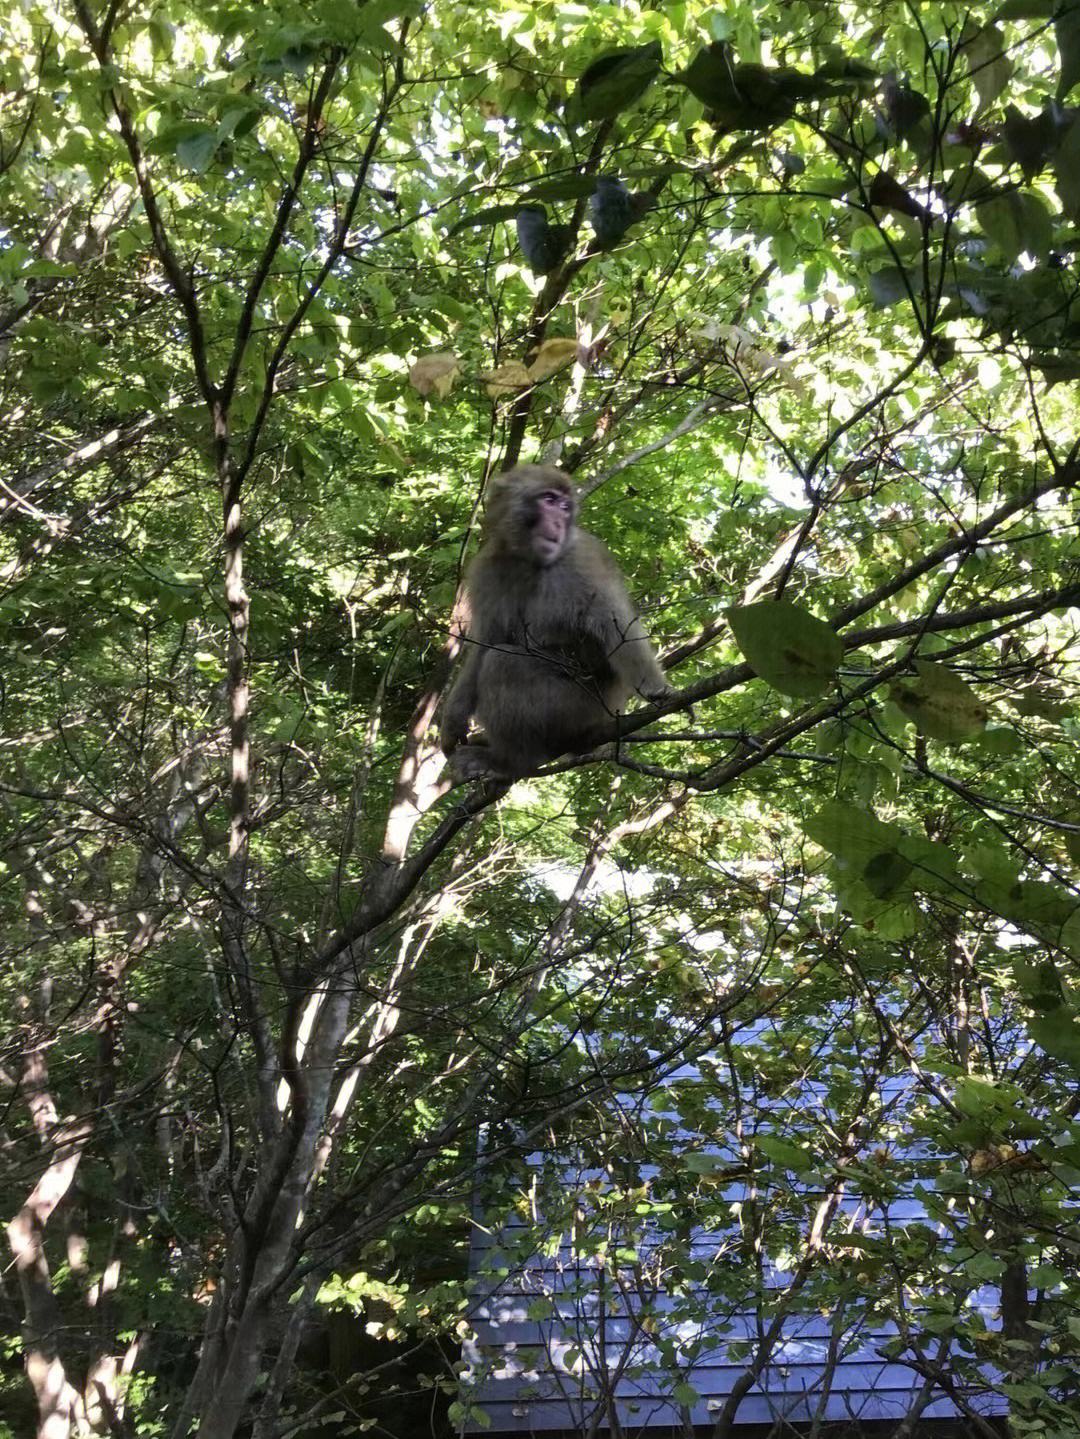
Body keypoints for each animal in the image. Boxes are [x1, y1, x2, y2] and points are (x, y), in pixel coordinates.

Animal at [440, 463, 667, 782]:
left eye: (564, 507)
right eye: (548, 500)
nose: (559, 523)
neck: (527, 561)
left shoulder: (579, 565)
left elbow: (616, 627)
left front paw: (658, 692)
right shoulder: (487, 569)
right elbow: (485, 642)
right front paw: (452, 723)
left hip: (578, 710)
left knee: (503, 663)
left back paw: (510, 762)